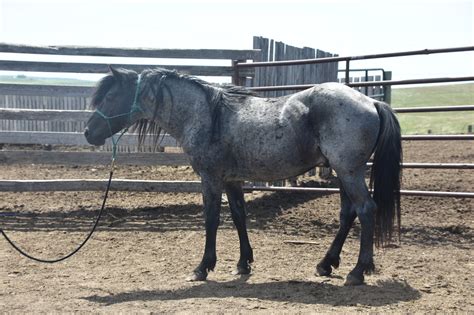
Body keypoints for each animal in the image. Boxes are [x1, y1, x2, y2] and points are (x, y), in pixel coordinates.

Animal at [84, 68, 400, 288]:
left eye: (110, 97)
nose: (88, 132)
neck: (207, 116)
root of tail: (371, 101)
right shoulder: (232, 180)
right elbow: (239, 216)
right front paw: (243, 263)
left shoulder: (210, 178)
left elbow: (211, 219)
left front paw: (202, 267)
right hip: (343, 173)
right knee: (348, 213)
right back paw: (326, 264)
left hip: (349, 171)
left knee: (366, 210)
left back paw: (357, 272)